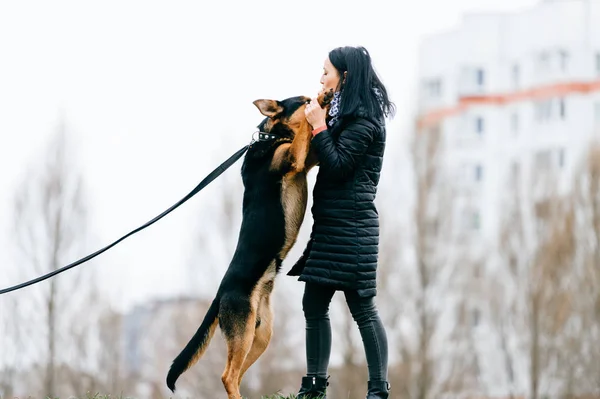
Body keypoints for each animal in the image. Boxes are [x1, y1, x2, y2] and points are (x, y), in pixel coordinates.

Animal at [165, 89, 332, 398]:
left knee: (238, 374)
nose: (323, 95)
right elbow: (305, 128)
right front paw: (322, 101)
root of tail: (220, 294)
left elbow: (311, 137)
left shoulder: (306, 159)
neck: (272, 137)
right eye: (303, 101)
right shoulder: (294, 158)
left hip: (260, 334)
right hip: (242, 331)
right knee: (227, 375)